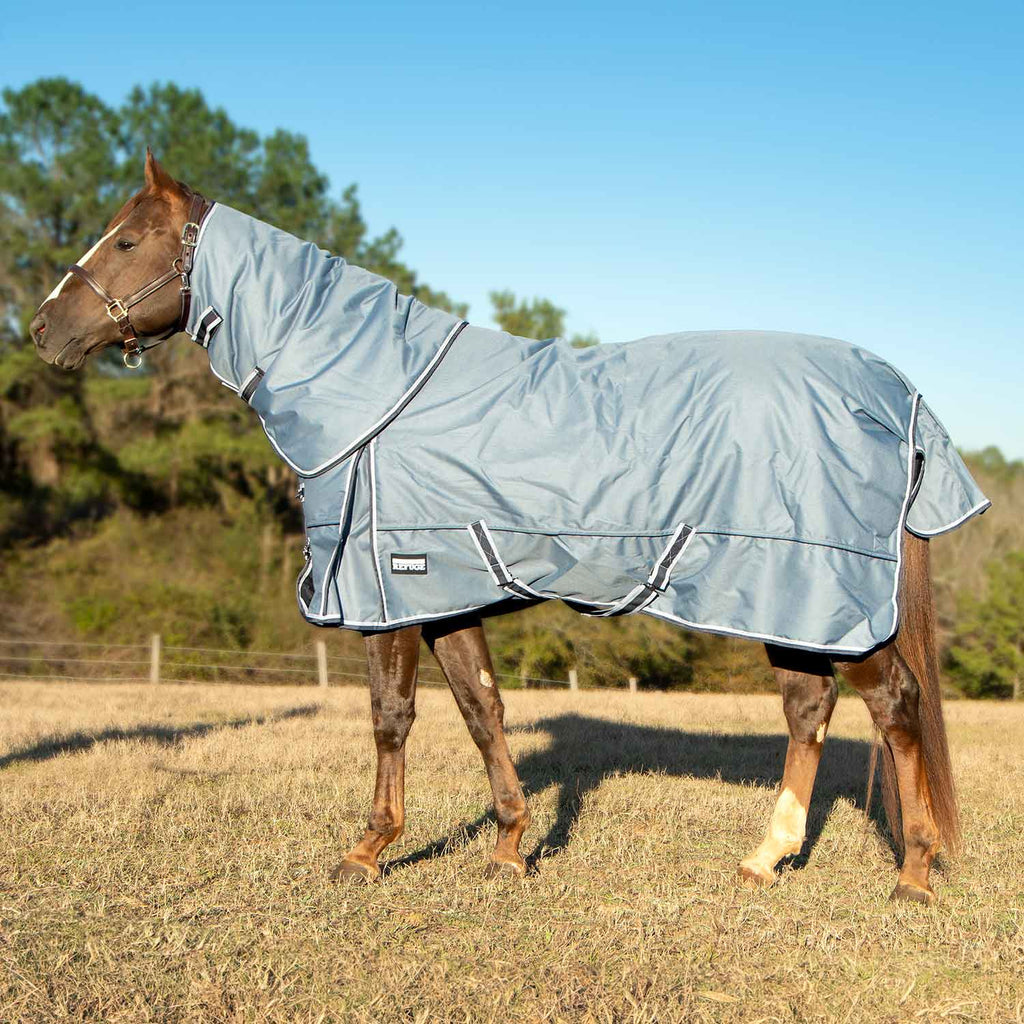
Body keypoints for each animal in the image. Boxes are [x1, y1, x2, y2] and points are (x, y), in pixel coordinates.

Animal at [30, 151, 981, 905]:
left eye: (125, 241)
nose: (43, 330)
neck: (377, 394)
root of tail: (895, 389)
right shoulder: (448, 596)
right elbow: (482, 709)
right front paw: (510, 847)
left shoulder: (388, 589)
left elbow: (392, 716)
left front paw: (367, 852)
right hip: (792, 604)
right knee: (809, 709)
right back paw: (763, 857)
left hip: (828, 596)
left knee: (895, 707)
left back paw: (913, 873)